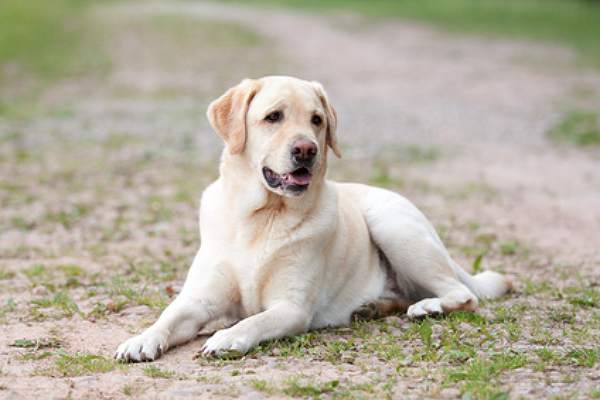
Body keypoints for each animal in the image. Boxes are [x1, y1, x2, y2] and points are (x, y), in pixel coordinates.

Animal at [113, 76, 510, 362]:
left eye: (316, 120)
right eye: (273, 117)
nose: (306, 149)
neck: (262, 217)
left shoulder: (292, 307)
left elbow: (255, 319)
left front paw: (227, 337)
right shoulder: (199, 300)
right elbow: (167, 317)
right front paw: (140, 340)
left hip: (392, 224)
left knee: (462, 294)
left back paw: (428, 307)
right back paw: (373, 306)